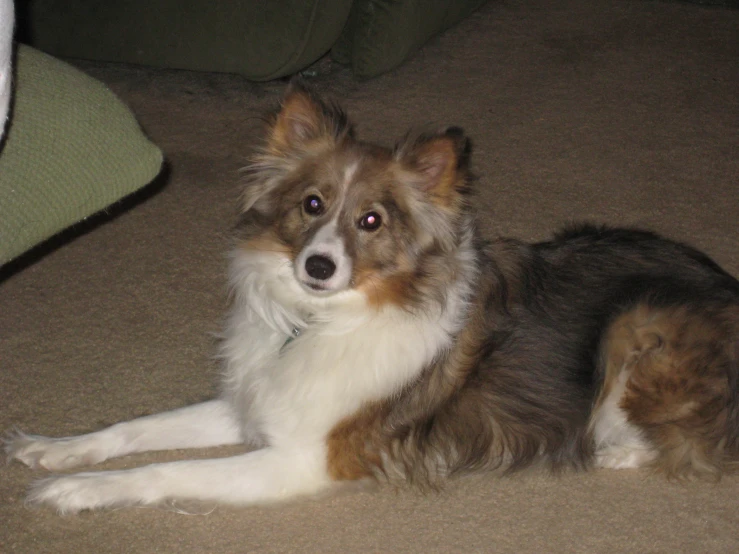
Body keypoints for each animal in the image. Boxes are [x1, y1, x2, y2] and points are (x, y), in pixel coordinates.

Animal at [7, 80, 739, 512]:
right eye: (312, 204)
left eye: (371, 220)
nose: (318, 265)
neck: (320, 319)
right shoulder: (259, 407)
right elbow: (137, 429)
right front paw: (55, 449)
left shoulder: (303, 459)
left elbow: (161, 472)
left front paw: (75, 489)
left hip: (636, 324)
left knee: (690, 434)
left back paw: (614, 446)